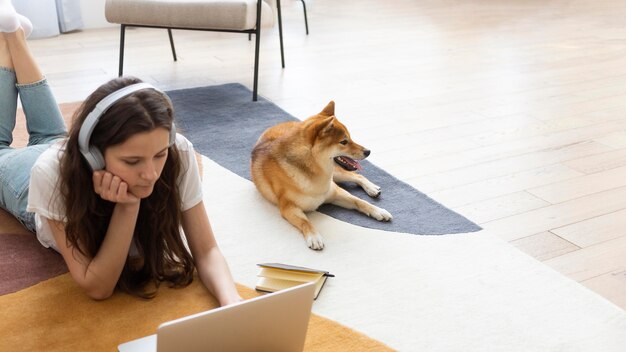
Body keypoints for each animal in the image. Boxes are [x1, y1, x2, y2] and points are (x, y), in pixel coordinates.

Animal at [250, 102, 390, 250]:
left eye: (350, 138)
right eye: (344, 142)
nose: (368, 151)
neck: (316, 175)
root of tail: (284, 122)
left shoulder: (335, 193)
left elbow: (359, 201)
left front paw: (378, 211)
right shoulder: (289, 207)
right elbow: (305, 222)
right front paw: (314, 237)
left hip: (336, 174)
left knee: (357, 176)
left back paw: (372, 189)